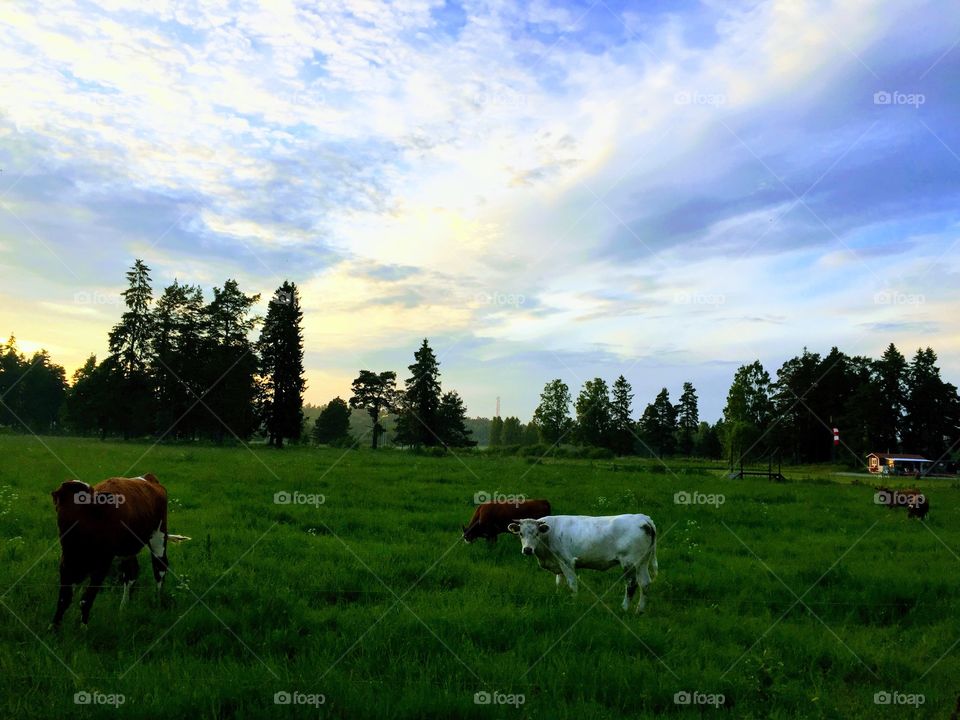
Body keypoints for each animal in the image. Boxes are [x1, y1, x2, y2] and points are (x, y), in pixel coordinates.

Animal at [50, 474, 190, 627]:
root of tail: (147, 477)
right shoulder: (66, 564)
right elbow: (63, 599)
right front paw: (54, 628)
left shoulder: (102, 565)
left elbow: (86, 599)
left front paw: (83, 628)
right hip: (128, 548)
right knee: (131, 573)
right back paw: (123, 607)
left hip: (158, 535)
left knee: (160, 568)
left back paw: (157, 602)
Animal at [508, 514, 658, 613]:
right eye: (520, 533)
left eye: (537, 534)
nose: (527, 549)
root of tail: (643, 518)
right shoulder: (558, 564)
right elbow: (559, 582)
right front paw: (558, 596)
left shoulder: (567, 561)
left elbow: (572, 584)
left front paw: (573, 603)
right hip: (642, 562)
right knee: (645, 584)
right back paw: (639, 611)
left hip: (629, 562)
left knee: (631, 584)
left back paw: (624, 608)